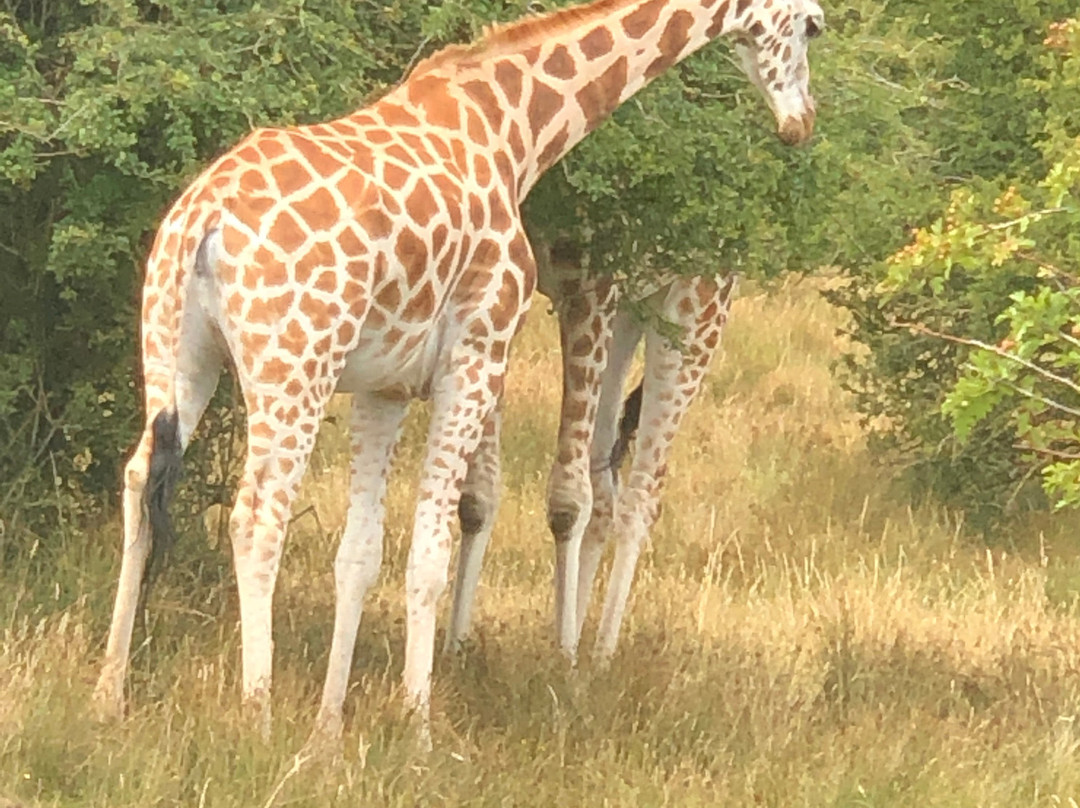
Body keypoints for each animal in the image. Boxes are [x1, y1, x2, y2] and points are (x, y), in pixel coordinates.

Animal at [92, 0, 820, 743]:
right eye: (814, 26)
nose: (802, 122)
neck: (514, 129)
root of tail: (202, 219)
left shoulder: (383, 386)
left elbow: (361, 553)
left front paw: (330, 729)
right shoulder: (479, 352)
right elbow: (432, 549)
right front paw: (418, 725)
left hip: (179, 353)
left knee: (138, 479)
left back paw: (111, 691)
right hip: (296, 364)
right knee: (258, 516)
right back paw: (257, 715)